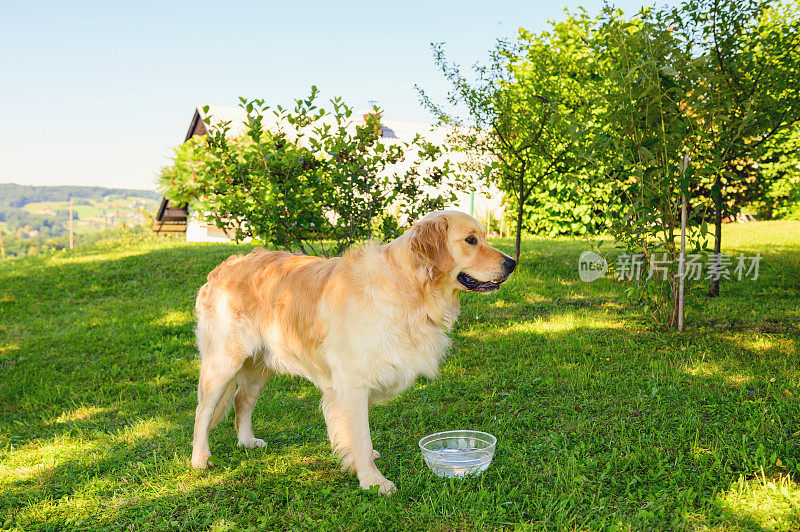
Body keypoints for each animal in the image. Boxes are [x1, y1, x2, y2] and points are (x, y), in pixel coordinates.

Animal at [191, 210, 516, 492]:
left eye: (483, 237)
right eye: (471, 240)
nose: (512, 263)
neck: (410, 289)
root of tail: (222, 268)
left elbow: (357, 432)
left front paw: (362, 462)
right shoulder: (352, 381)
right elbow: (360, 435)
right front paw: (374, 482)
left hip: (260, 364)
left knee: (241, 401)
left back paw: (246, 441)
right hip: (224, 361)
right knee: (203, 411)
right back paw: (199, 459)